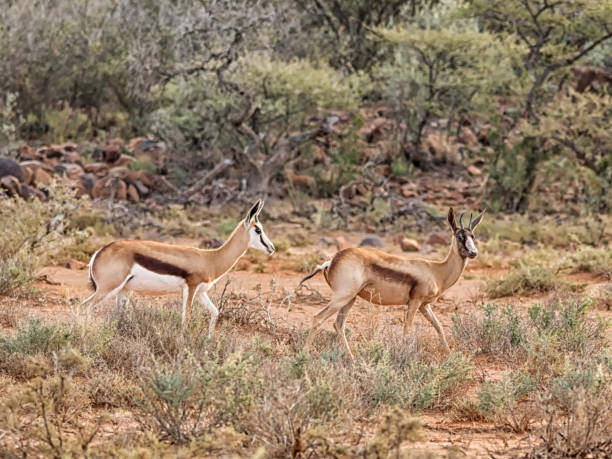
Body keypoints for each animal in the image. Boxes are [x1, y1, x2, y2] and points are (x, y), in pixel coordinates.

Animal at [81, 200, 274, 338]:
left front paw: (209, 341)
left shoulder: (201, 292)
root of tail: (99, 252)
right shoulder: (191, 288)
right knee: (84, 306)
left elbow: (215, 312)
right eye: (258, 230)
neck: (210, 259)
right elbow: (185, 318)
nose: (272, 248)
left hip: (124, 291)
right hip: (107, 289)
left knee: (116, 316)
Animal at [298, 208, 486, 362]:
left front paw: (450, 355)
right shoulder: (414, 302)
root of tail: (332, 260)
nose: (473, 253)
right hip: (342, 297)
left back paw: (352, 359)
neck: (436, 270)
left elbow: (438, 327)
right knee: (318, 318)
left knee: (338, 325)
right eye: (460, 236)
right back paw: (304, 357)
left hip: (350, 299)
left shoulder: (424, 306)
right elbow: (407, 330)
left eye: (473, 236)